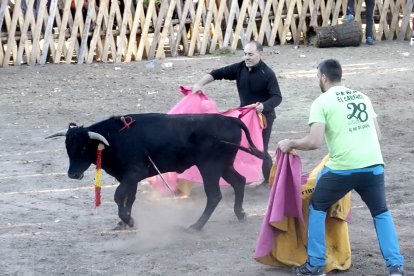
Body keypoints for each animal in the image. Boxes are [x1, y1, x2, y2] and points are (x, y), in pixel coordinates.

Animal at [46, 112, 266, 231]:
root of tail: (230, 120)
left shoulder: (133, 174)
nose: (73, 174)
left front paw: (128, 220)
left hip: (209, 167)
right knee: (239, 181)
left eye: (84, 148)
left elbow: (119, 196)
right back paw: (240, 213)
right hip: (224, 165)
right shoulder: (130, 178)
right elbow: (129, 198)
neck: (113, 139)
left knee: (214, 195)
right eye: (67, 147)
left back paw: (196, 226)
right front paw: (124, 221)